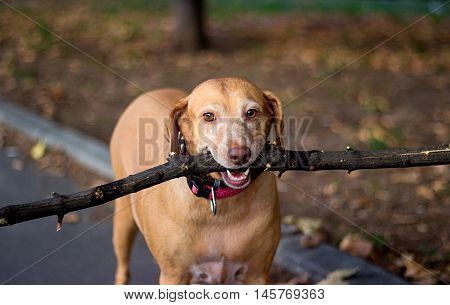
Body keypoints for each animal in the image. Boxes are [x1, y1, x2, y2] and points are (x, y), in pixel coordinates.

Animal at [110, 77, 282, 284]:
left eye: (251, 113)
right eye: (208, 116)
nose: (240, 154)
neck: (221, 196)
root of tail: (148, 94)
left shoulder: (256, 274)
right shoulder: (174, 276)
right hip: (123, 224)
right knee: (123, 269)